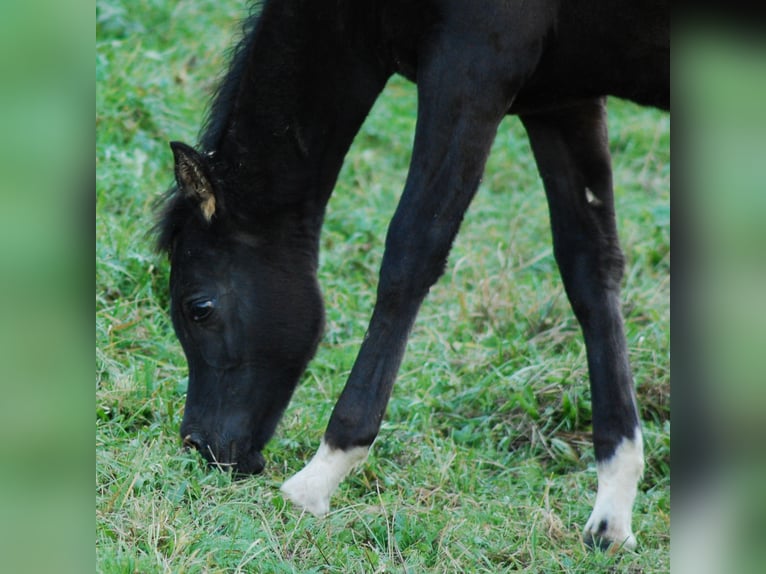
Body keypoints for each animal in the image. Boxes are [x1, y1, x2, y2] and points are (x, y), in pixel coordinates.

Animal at [158, 0, 672, 552]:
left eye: (199, 307)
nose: (199, 444)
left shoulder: (470, 71)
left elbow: (412, 250)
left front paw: (321, 476)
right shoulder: (561, 101)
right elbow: (590, 270)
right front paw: (613, 510)